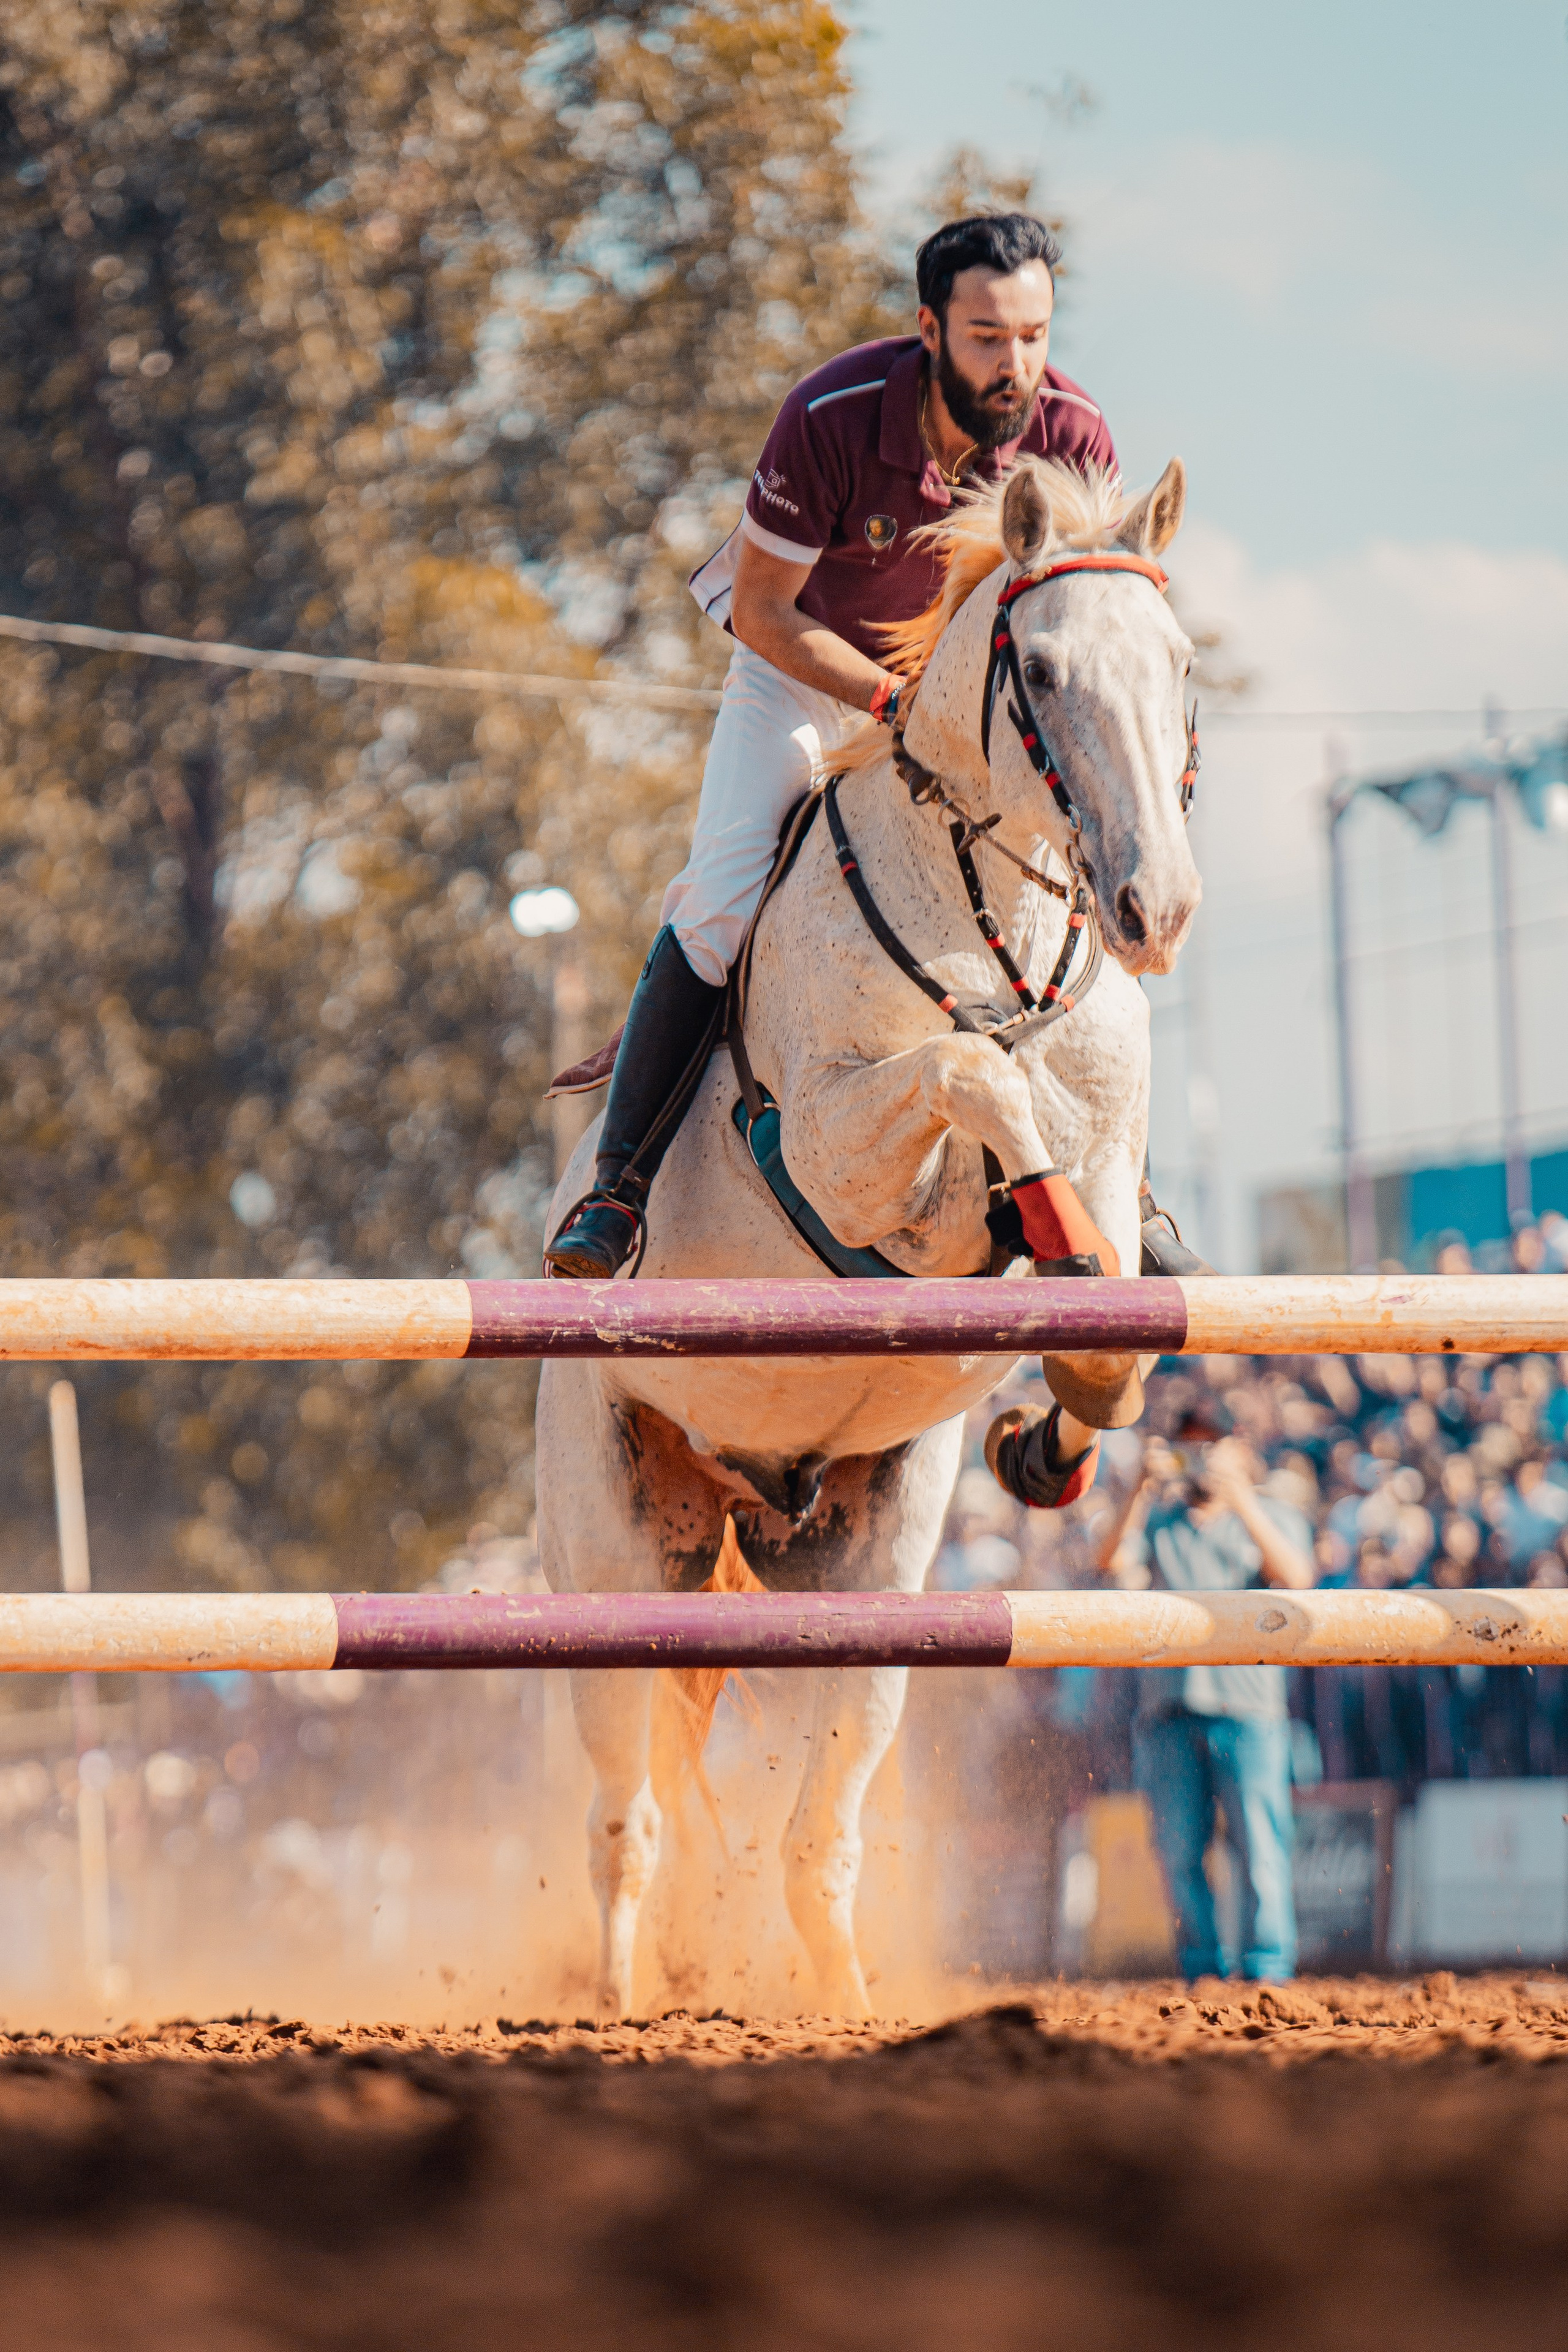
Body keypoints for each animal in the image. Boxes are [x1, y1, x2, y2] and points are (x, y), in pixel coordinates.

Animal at [535, 453, 1201, 2017]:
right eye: (1040, 671)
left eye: (1177, 666)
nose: (1153, 911)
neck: (993, 911)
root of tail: (746, 1486)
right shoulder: (835, 1160)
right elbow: (970, 1076)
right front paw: (1038, 1218)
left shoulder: (1111, 1144)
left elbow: (1107, 1288)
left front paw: (1054, 1426)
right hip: (613, 1544)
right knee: (627, 1813)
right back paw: (624, 2001)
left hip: (870, 1548)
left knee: (812, 1819)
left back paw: (833, 1999)